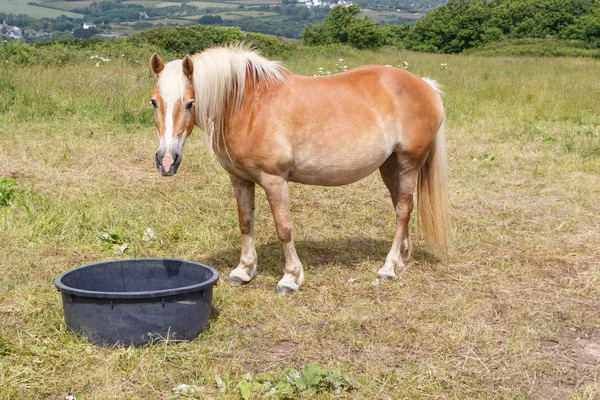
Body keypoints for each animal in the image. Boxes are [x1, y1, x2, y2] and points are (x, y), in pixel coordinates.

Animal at [150, 44, 450, 294]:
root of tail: (426, 85)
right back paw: (401, 259)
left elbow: (284, 228)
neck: (247, 105)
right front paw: (244, 271)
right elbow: (245, 222)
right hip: (390, 166)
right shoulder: (239, 179)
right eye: (154, 102)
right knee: (401, 205)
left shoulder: (275, 180)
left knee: (403, 210)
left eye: (190, 103)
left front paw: (290, 279)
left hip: (409, 162)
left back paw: (388, 268)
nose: (166, 161)